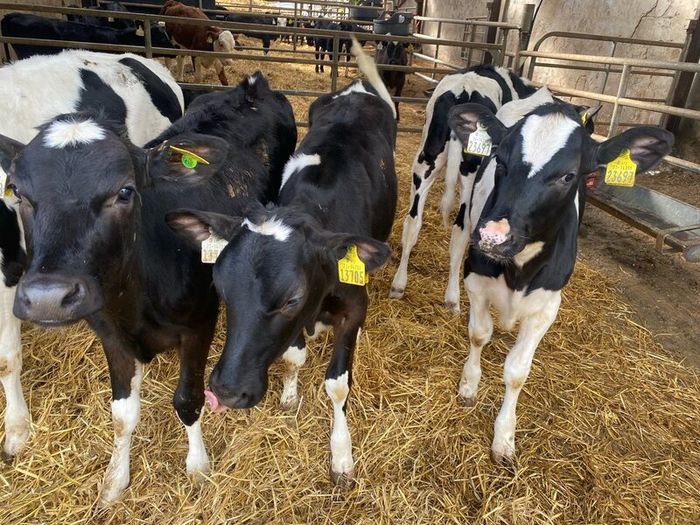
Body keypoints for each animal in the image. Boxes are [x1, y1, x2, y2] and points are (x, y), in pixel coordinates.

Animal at [165, 38, 396, 486]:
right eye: (221, 288)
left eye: (292, 298)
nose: (228, 389)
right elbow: (293, 356)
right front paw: (289, 392)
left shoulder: (353, 303)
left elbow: (338, 384)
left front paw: (341, 455)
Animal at [389, 65, 537, 312]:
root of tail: (463, 89)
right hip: (471, 178)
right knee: (461, 231)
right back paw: (453, 298)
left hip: (425, 161)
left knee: (412, 222)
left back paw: (398, 284)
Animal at [446, 88, 673, 463]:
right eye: (500, 160)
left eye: (568, 176)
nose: (493, 236)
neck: (518, 270)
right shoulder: (477, 281)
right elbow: (479, 335)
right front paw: (468, 385)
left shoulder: (546, 308)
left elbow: (517, 372)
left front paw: (504, 436)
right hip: (467, 209)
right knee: (457, 242)